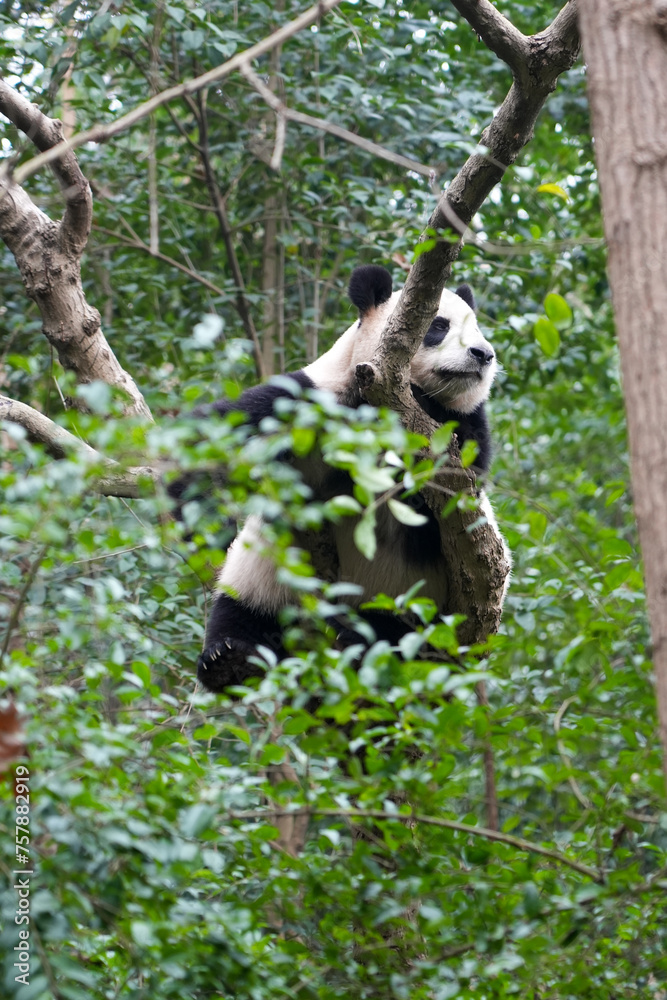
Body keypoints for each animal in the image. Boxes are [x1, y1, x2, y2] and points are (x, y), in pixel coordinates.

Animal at [182, 264, 506, 692]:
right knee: (242, 609)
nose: (483, 354)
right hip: (269, 573)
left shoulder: (460, 427)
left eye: (477, 328)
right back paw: (229, 660)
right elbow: (212, 437)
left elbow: (462, 474)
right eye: (439, 325)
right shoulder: (310, 399)